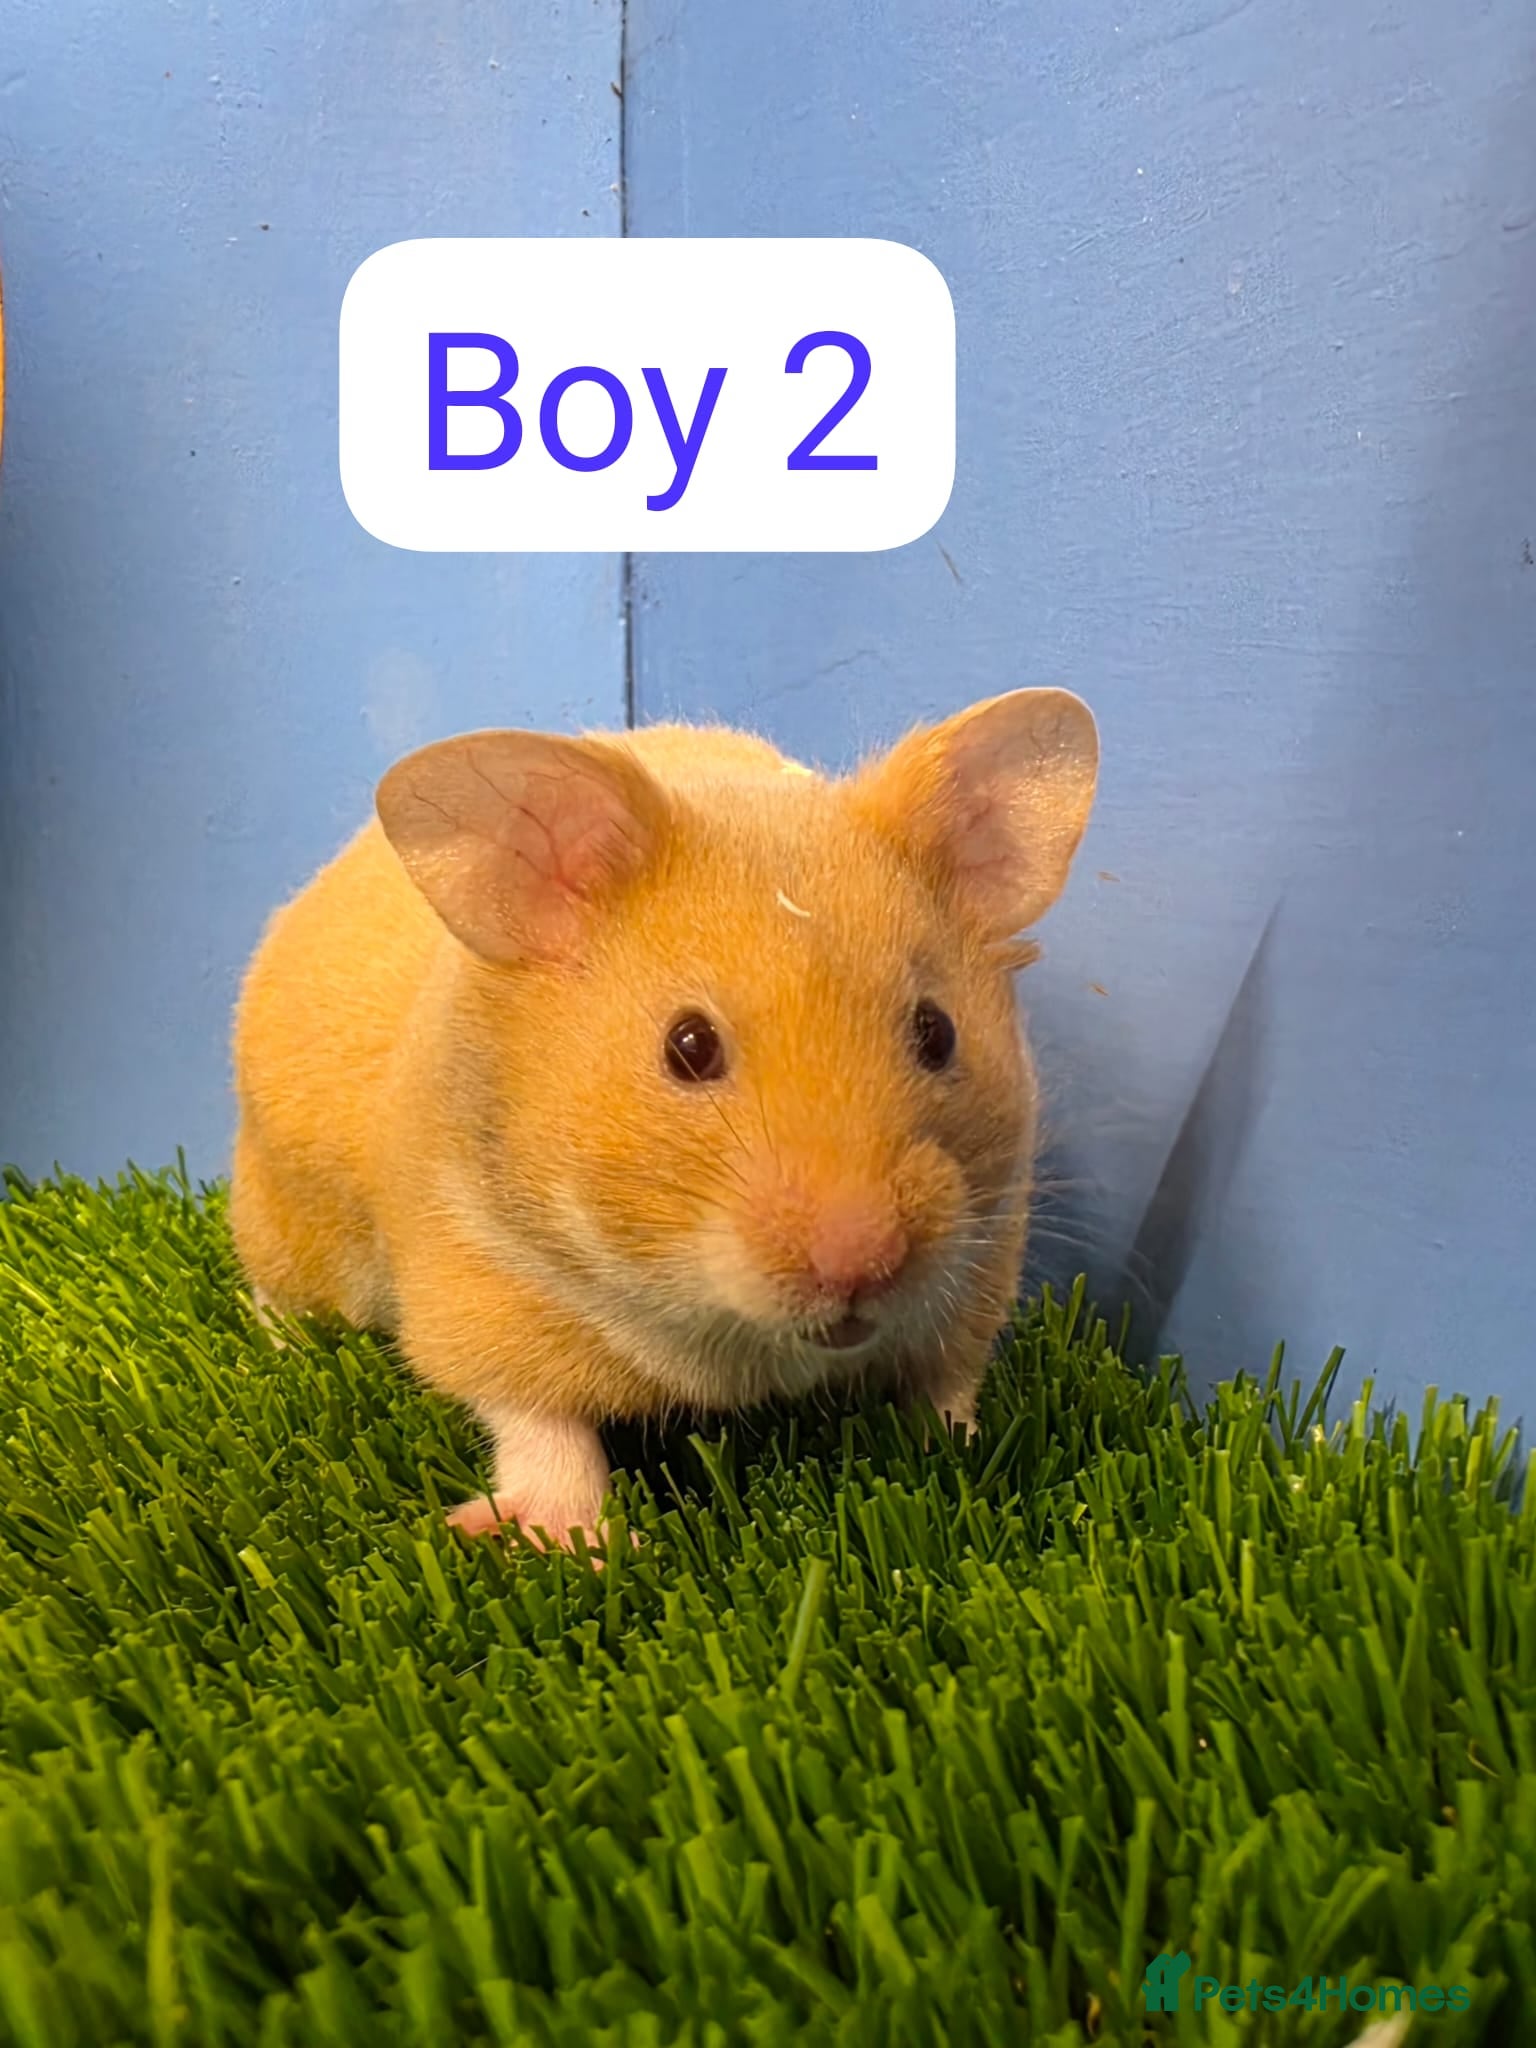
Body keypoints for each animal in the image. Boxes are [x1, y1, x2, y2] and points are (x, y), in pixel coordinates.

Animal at [229, 690, 1099, 1550]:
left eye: (936, 1031)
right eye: (688, 1046)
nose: (861, 1267)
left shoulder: (980, 1266)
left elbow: (947, 1389)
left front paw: (971, 1460)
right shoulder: (475, 1279)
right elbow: (539, 1424)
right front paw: (565, 1545)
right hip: (286, 1222)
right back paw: (285, 1354)